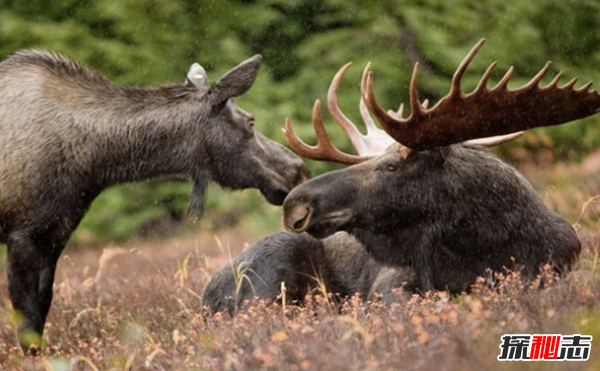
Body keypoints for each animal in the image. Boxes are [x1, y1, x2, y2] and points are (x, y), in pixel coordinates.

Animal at [0, 50, 310, 354]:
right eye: (250, 121)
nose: (298, 169)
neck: (93, 164)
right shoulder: (23, 234)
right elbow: (27, 319)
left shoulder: (55, 233)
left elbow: (43, 306)